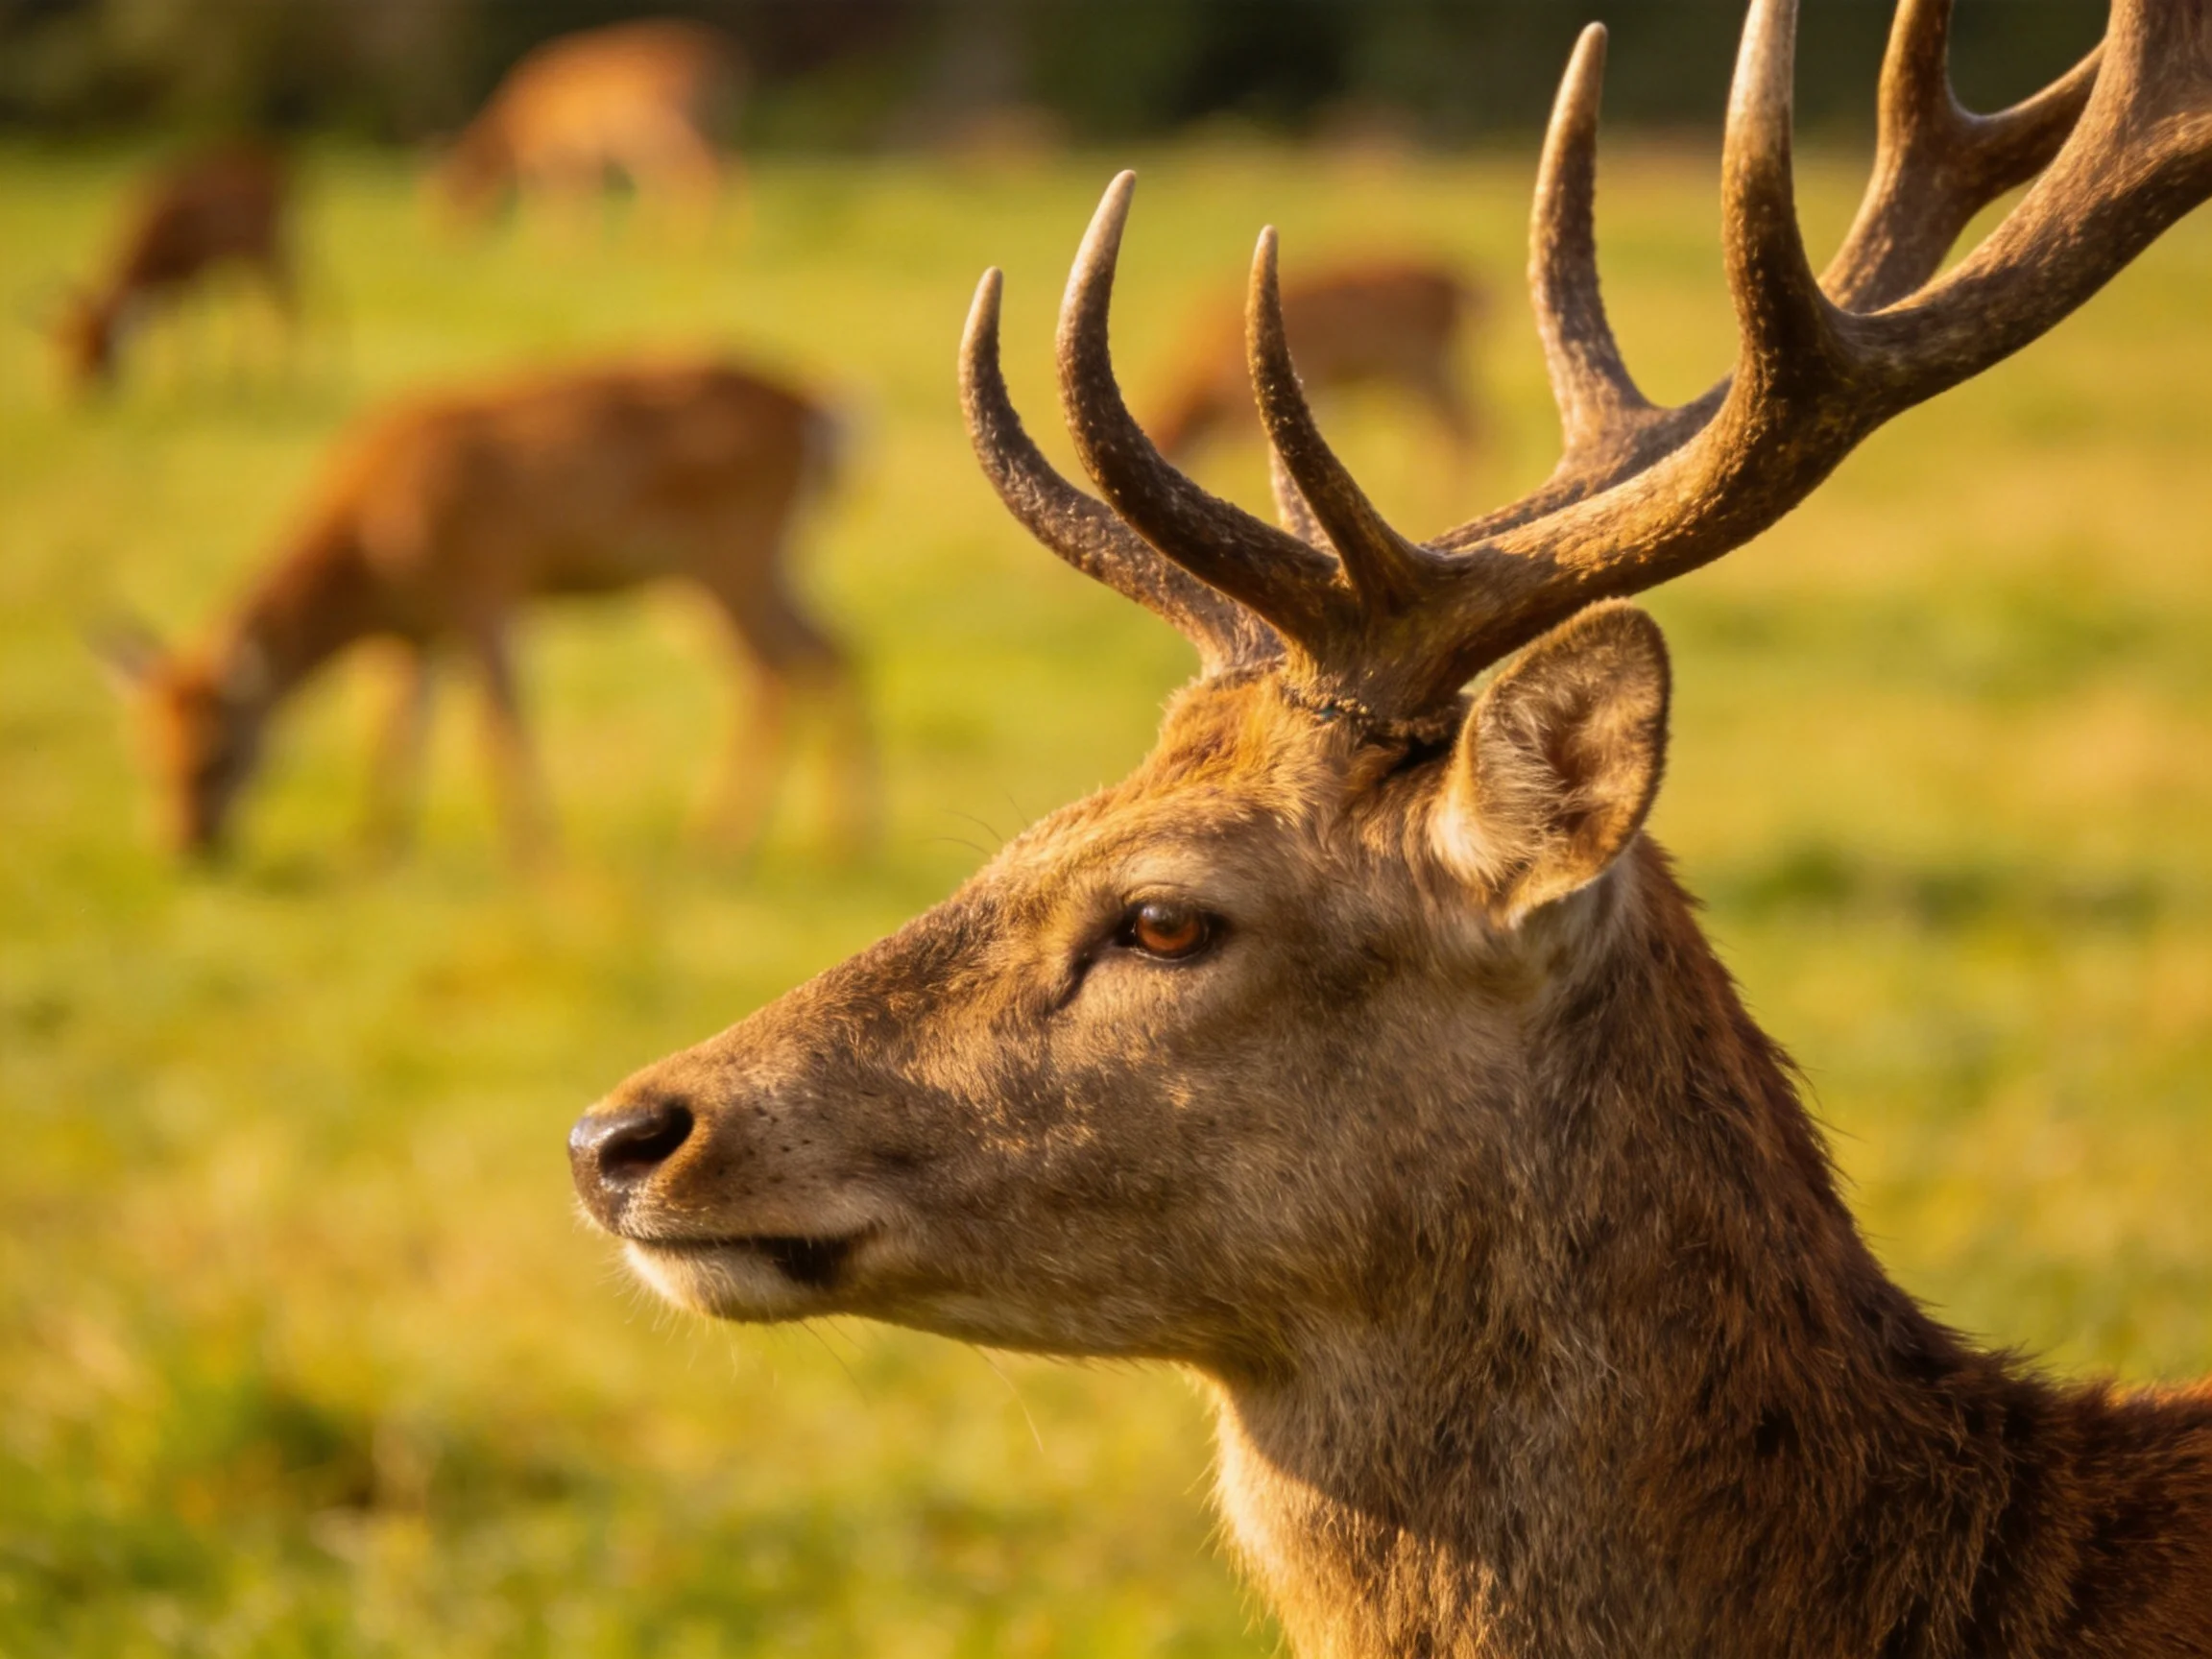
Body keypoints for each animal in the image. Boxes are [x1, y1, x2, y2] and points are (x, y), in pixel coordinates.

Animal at [51, 144, 294, 395]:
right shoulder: (175, 277)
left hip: (267, 244)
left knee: (288, 294)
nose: (77, 392)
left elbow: (190, 321)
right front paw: (165, 382)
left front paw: (187, 380)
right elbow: (168, 319)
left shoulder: (192, 268)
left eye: (99, 347)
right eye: (72, 347)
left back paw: (285, 373)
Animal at [101, 359, 870, 863]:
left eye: (219, 754)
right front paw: (376, 846)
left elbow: (496, 722)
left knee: (780, 669)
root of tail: (823, 413)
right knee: (832, 649)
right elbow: (395, 731)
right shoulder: (416, 633)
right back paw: (844, 835)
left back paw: (726, 838)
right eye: (142, 753)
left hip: (730, 555)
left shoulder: (484, 585)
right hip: (741, 566)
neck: (369, 561)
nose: (186, 847)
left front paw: (534, 847)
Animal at [432, 19, 744, 237]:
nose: (442, 239)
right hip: (713, 125)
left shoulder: (558, 152)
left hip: (666, 125)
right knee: (725, 168)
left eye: (451, 196)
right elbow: (575, 195)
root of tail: (728, 57)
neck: (513, 123)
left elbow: (552, 197)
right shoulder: (579, 154)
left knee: (699, 174)